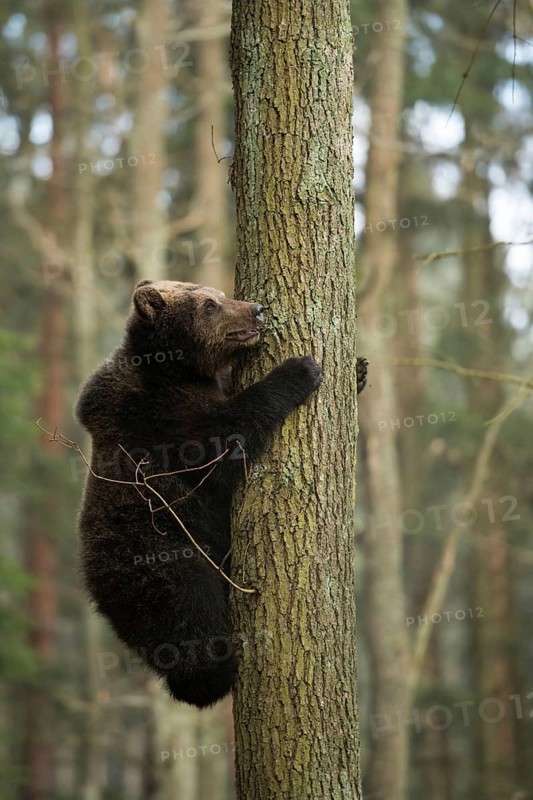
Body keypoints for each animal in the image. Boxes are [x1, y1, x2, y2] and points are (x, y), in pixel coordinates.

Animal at [76, 279, 367, 708]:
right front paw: (299, 369)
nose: (256, 309)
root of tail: (96, 594)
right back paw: (214, 673)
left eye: (219, 293)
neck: (176, 370)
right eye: (209, 305)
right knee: (189, 613)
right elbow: (223, 439)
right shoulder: (159, 420)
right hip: (157, 552)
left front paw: (359, 371)